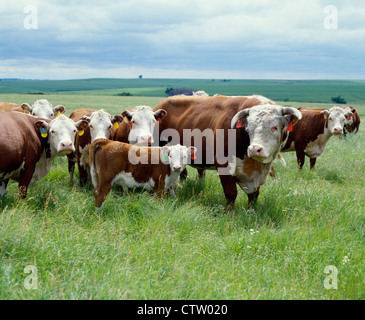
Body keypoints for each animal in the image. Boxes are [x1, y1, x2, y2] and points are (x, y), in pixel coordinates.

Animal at [152, 94, 300, 208]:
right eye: (248, 129)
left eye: (274, 127)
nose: (254, 149)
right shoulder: (223, 165)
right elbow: (231, 193)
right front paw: (230, 214)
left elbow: (254, 195)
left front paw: (251, 212)